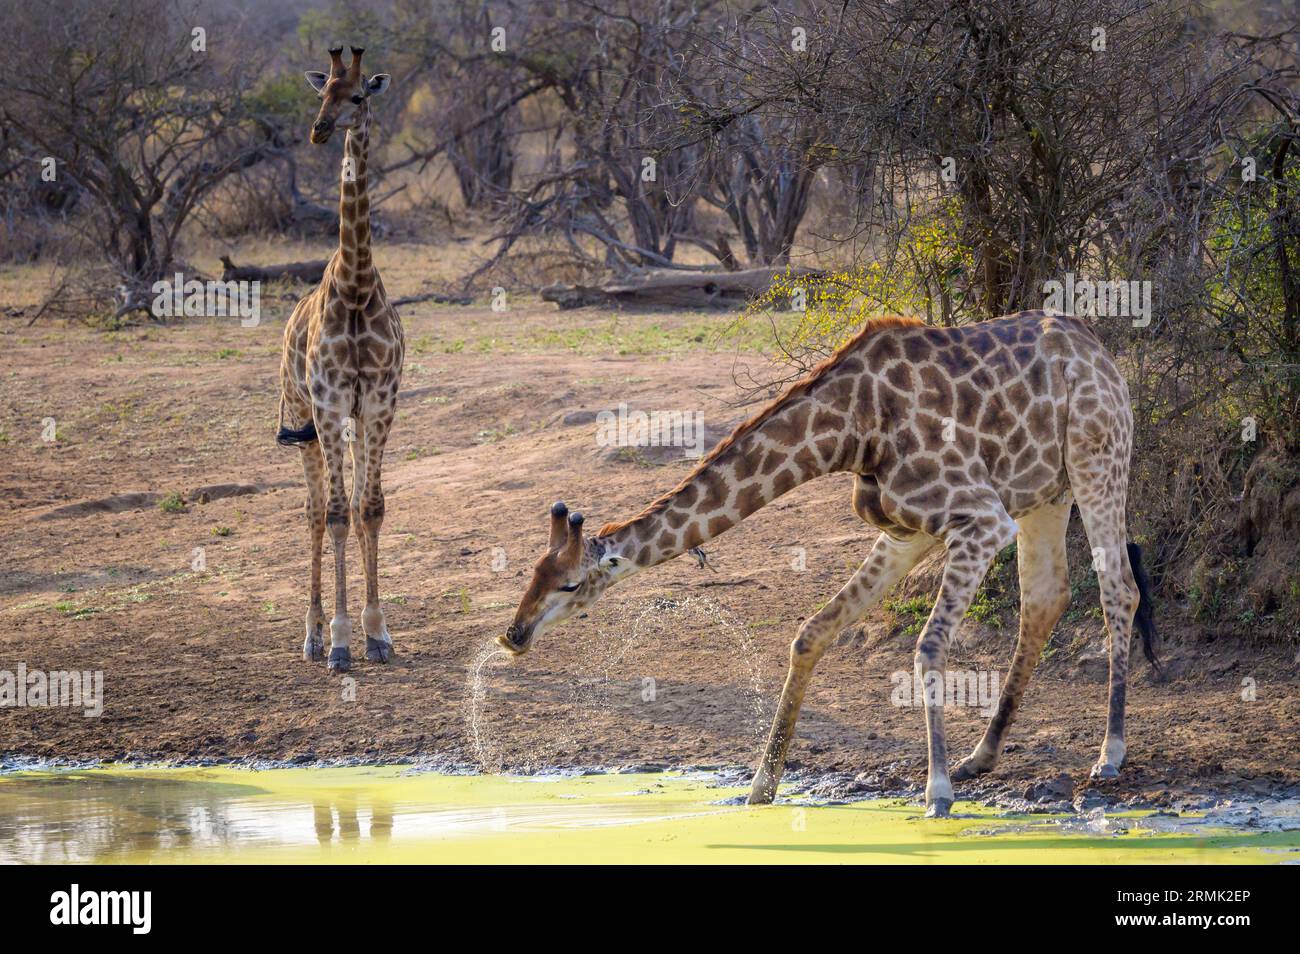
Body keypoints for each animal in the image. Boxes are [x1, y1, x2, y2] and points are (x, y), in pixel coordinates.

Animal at [501, 311, 1164, 816]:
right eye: (531, 573)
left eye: (569, 584)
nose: (514, 634)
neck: (850, 427)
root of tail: (1098, 349)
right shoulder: (906, 532)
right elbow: (810, 634)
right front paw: (758, 791)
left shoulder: (979, 518)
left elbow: (927, 645)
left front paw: (936, 794)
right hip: (1043, 491)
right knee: (1047, 597)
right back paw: (982, 755)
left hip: (1098, 458)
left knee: (1118, 589)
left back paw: (1109, 754)